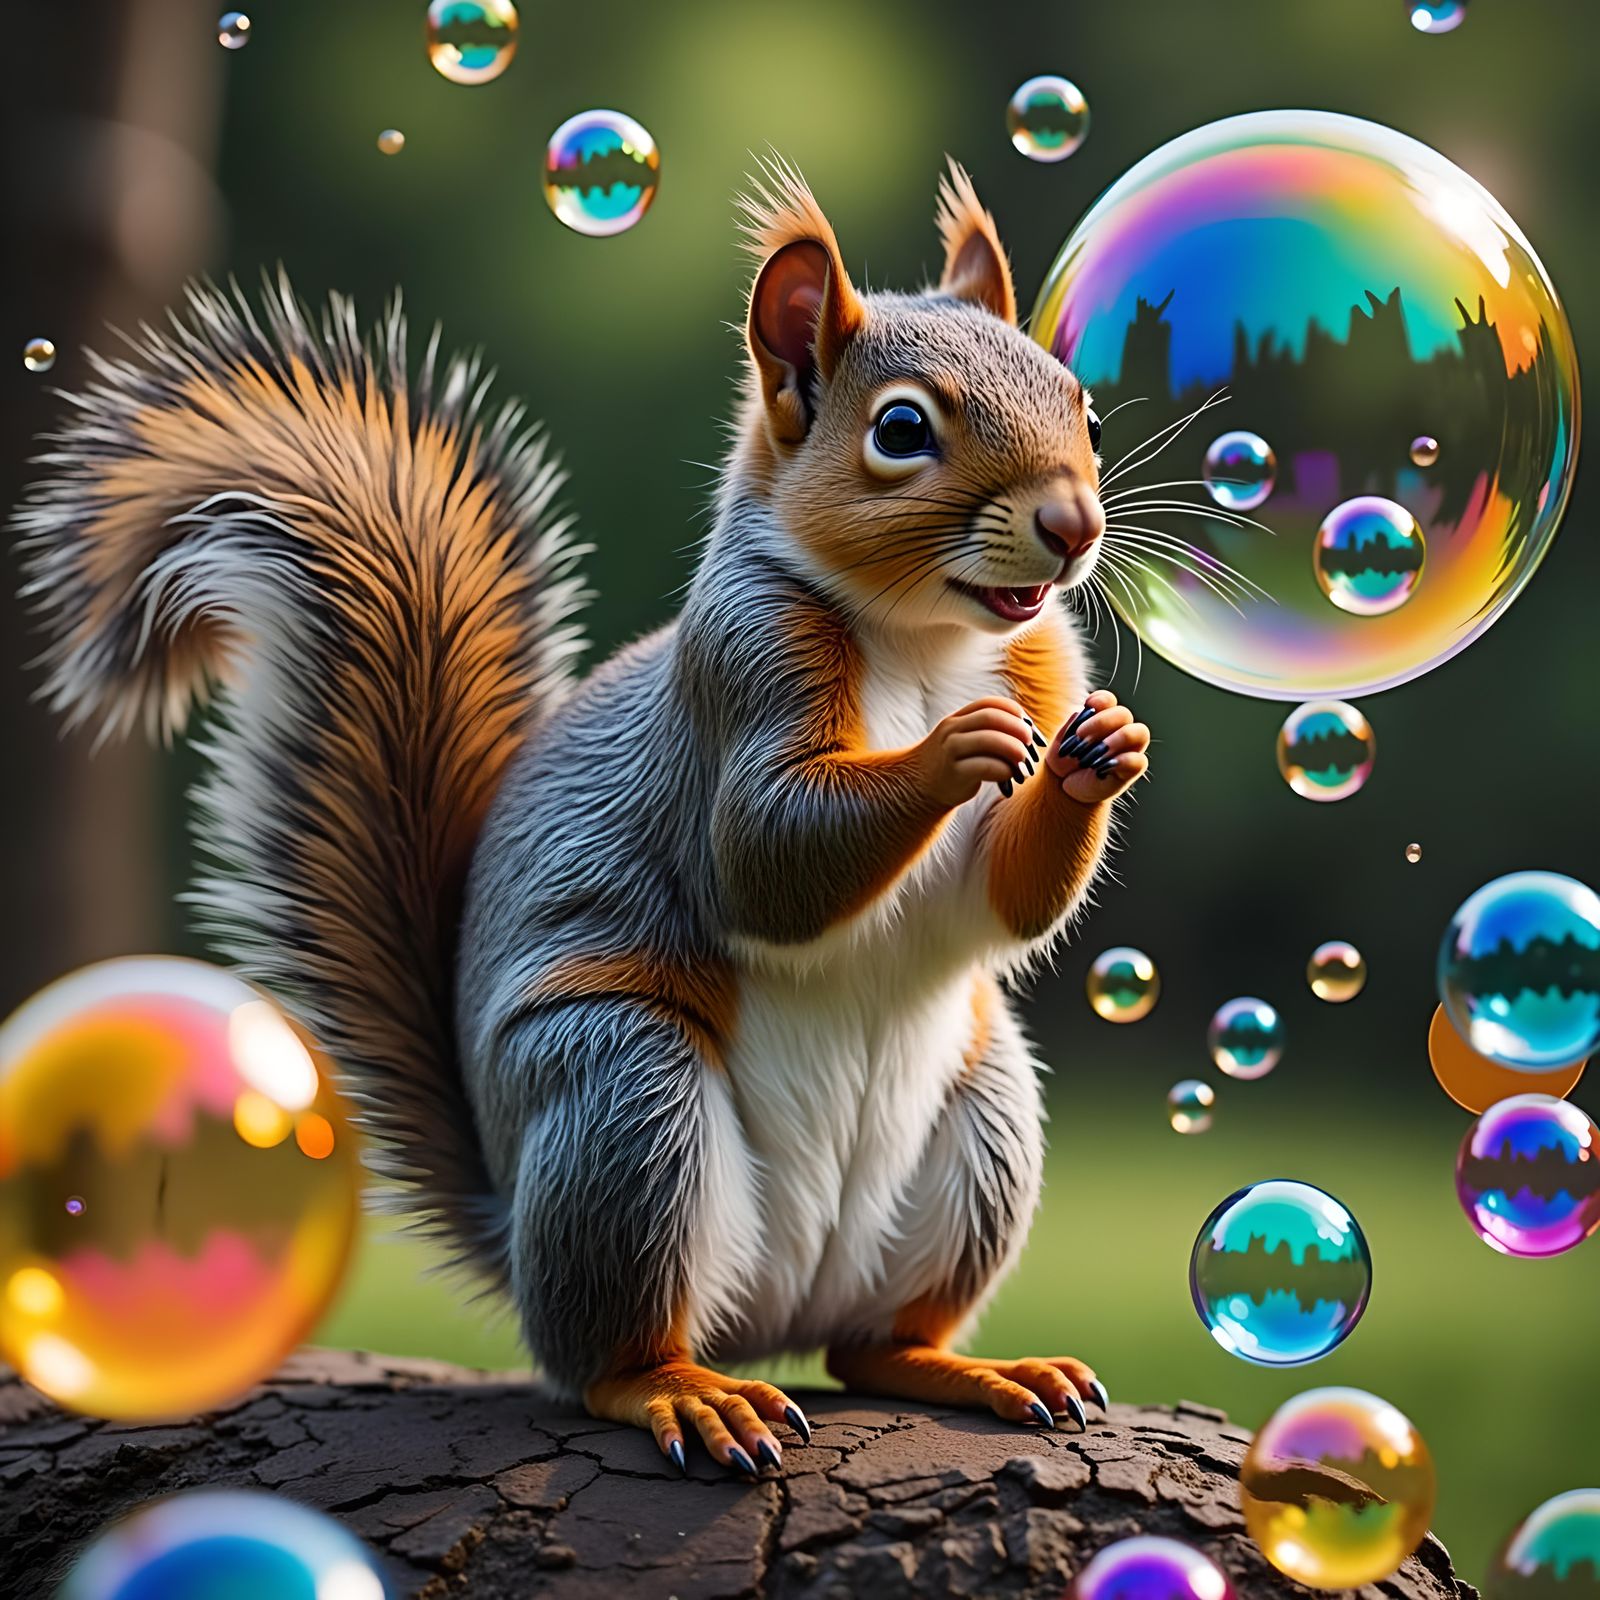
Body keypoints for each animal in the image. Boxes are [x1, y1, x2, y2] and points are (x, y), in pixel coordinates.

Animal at [13, 158, 1151, 1475]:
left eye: (1086, 412)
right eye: (902, 430)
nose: (1073, 526)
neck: (927, 643)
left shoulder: (1040, 675)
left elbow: (1005, 901)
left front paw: (1100, 757)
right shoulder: (739, 677)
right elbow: (764, 856)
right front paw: (952, 748)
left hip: (983, 1120)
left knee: (872, 1345)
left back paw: (972, 1366)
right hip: (627, 1101)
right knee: (611, 1351)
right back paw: (685, 1391)